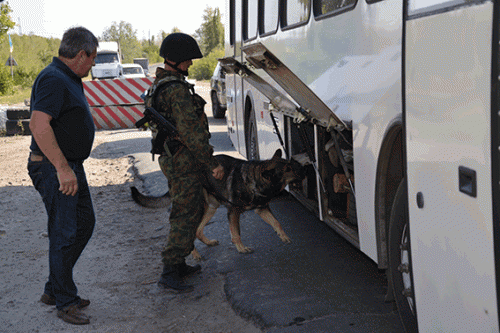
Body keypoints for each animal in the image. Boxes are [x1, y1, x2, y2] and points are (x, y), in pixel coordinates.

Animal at [131, 149, 304, 260]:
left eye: (290, 164)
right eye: (288, 168)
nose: (304, 169)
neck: (254, 180)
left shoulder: (262, 209)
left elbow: (277, 222)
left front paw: (283, 236)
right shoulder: (233, 212)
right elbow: (236, 233)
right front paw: (241, 248)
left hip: (211, 208)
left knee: (198, 230)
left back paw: (208, 242)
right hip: (198, 208)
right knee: (188, 231)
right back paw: (194, 254)